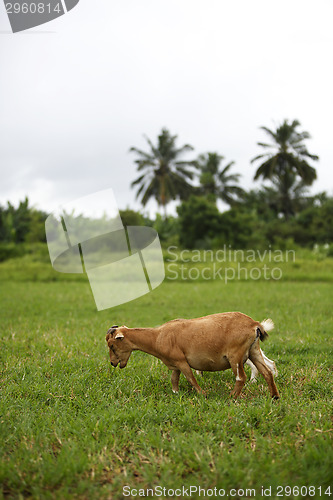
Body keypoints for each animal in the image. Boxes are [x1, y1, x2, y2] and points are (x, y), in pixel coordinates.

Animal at [105, 312, 278, 398]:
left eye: (112, 345)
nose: (113, 363)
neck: (158, 336)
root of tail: (254, 324)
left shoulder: (182, 362)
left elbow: (191, 378)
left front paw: (203, 394)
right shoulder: (175, 364)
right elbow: (174, 380)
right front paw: (176, 393)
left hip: (236, 356)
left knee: (240, 378)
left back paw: (232, 397)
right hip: (254, 351)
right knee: (267, 373)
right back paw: (274, 397)